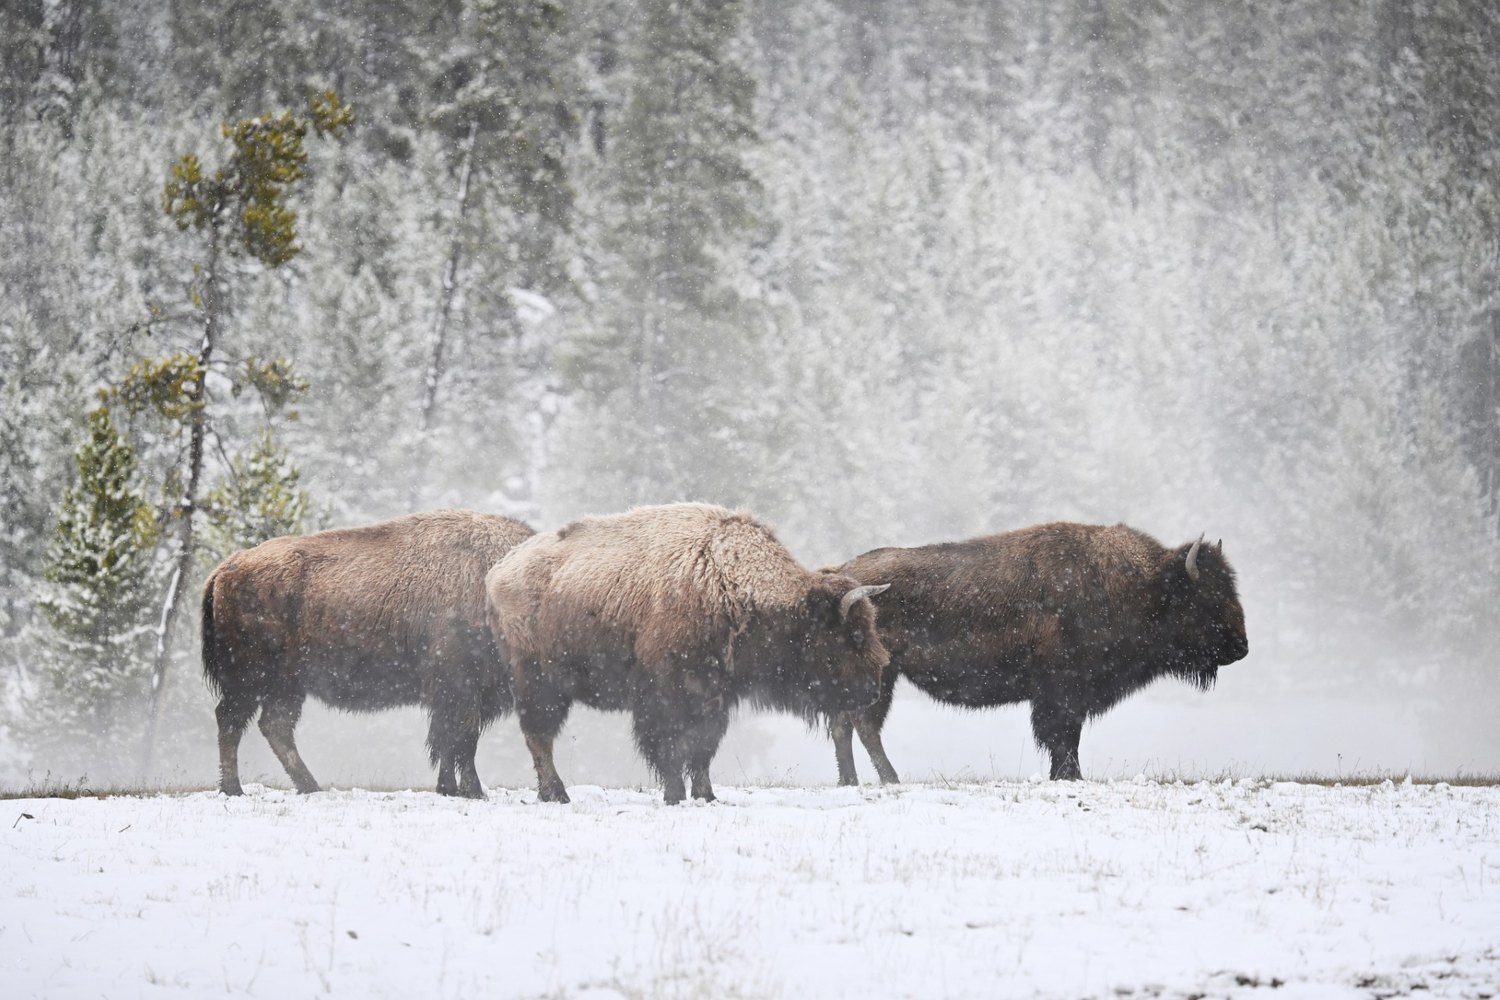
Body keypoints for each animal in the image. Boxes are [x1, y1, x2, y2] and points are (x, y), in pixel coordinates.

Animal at [202, 510, 534, 797]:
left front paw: (450, 789)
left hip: (286, 686)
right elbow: (461, 740)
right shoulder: (460, 689)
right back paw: (234, 789)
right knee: (231, 720)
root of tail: (227, 567)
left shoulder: (458, 696)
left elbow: (450, 742)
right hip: (249, 680)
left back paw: (310, 787)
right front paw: (473, 792)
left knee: (274, 725)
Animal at [485, 502, 891, 804]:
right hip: (540, 683)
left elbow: (702, 749)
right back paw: (558, 794)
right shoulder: (665, 696)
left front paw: (706, 795)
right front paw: (675, 795)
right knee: (539, 736)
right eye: (853, 634)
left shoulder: (715, 699)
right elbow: (670, 747)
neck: (727, 584)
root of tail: (499, 572)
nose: (872, 689)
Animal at [826, 522, 1248, 783]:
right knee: (864, 726)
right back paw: (890, 779)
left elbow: (1067, 736)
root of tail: (843, 573)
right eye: (1207, 597)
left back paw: (851, 781)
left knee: (845, 726)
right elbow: (1062, 736)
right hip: (882, 676)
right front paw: (1071, 775)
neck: (1143, 586)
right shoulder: (1061, 692)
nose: (1241, 647)